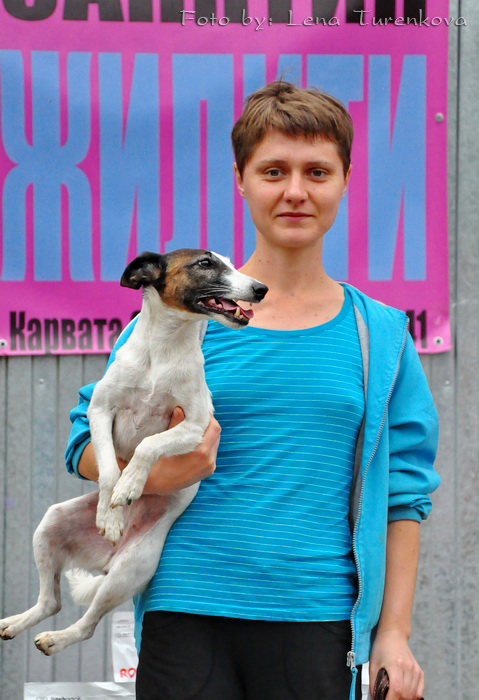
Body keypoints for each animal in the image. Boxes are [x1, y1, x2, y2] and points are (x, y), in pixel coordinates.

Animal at [0, 249, 267, 655]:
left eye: (233, 264)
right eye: (205, 264)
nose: (261, 288)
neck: (163, 349)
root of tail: (108, 558)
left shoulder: (197, 426)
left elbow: (146, 445)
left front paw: (130, 487)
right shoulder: (99, 411)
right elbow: (111, 469)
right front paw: (110, 514)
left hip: (130, 570)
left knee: (84, 624)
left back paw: (57, 639)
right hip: (50, 524)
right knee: (50, 601)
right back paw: (16, 623)